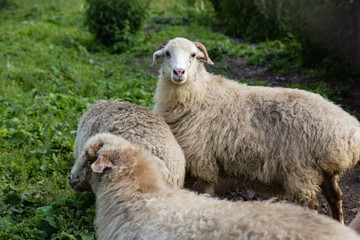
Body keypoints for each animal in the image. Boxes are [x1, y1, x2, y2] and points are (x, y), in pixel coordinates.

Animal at [151, 37, 360, 223]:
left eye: (193, 55)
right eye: (167, 54)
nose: (179, 72)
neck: (201, 94)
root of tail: (349, 129)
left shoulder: (203, 160)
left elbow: (207, 193)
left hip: (301, 171)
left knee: (313, 204)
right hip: (324, 171)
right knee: (336, 197)